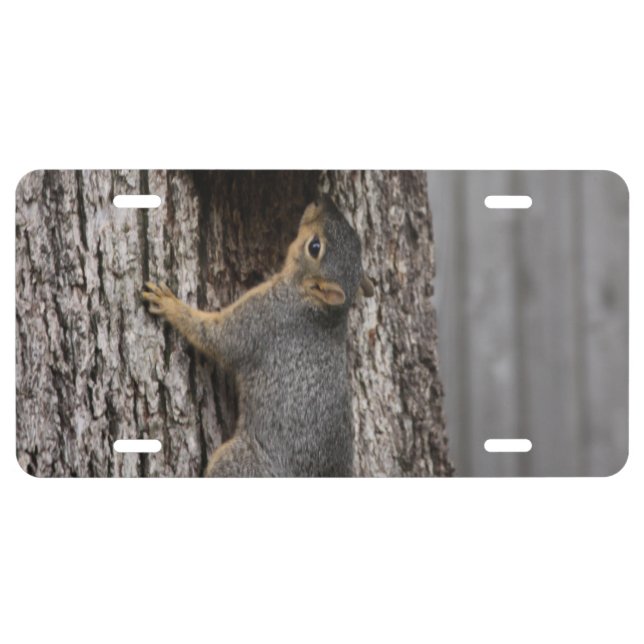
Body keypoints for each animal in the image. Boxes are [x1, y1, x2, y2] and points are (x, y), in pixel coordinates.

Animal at [142, 194, 374, 477]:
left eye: (315, 247)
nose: (321, 201)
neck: (320, 310)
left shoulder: (262, 320)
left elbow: (217, 338)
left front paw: (169, 304)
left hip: (241, 463)